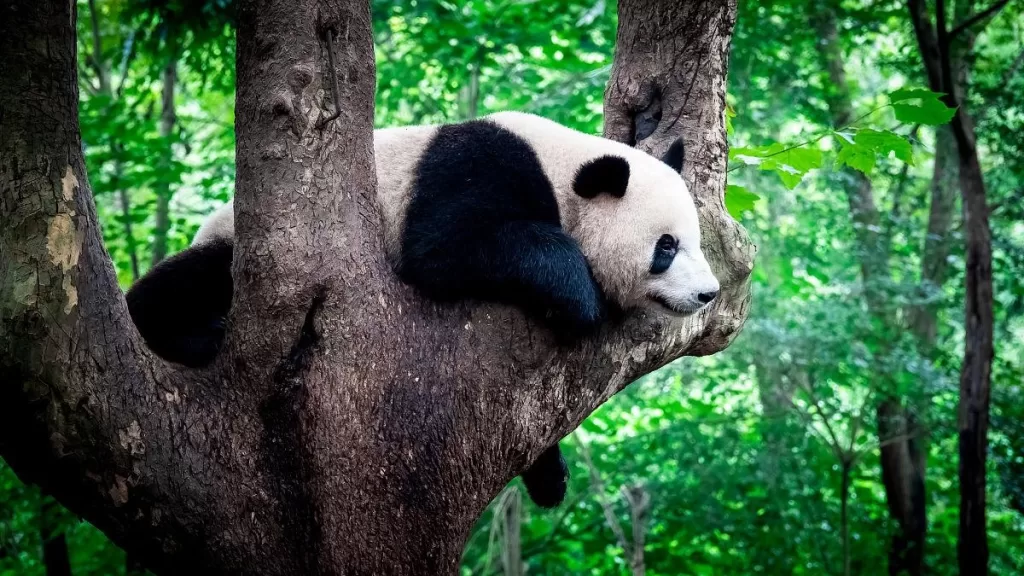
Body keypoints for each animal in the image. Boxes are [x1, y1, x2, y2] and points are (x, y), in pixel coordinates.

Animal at [125, 111, 720, 509]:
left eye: (695, 241)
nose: (708, 294)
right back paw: (193, 333)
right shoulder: (473, 168)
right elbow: (447, 246)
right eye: (666, 247)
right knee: (191, 280)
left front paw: (550, 474)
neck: (563, 172)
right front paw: (579, 296)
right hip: (245, 247)